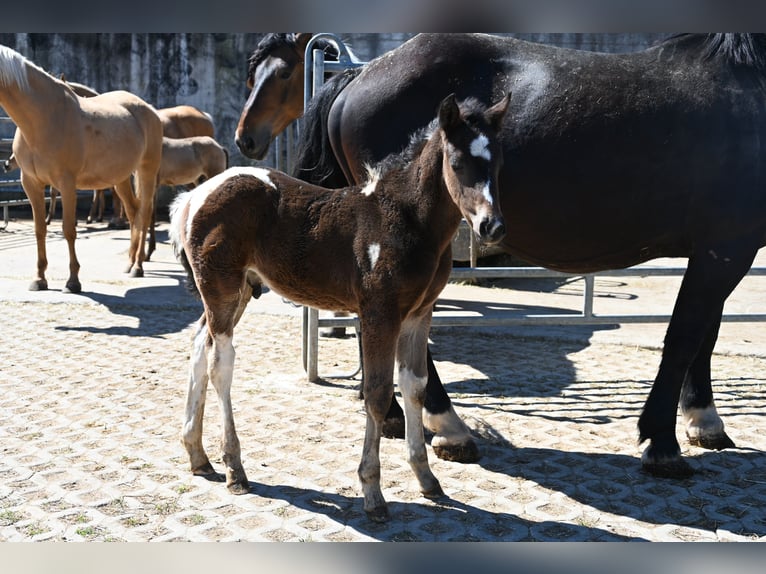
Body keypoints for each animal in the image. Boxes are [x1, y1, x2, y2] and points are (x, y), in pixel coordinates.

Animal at [0, 45, 162, 292]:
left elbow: (69, 229)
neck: (42, 118)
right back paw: (131, 262)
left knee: (144, 213)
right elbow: (39, 229)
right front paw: (39, 279)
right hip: (121, 178)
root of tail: (150, 110)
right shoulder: (31, 183)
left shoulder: (67, 183)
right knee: (133, 211)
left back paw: (138, 266)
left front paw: (73, 281)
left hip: (147, 170)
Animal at [170, 93, 509, 521]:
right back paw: (234, 468)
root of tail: (194, 197)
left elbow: (414, 387)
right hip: (222, 288)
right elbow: (377, 394)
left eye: (497, 164)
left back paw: (198, 455)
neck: (405, 219)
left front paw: (427, 479)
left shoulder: (419, 314)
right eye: (458, 162)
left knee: (200, 345)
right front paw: (373, 493)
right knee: (221, 364)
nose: (491, 227)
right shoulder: (380, 313)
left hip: (240, 291)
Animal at [236, 33, 766, 479]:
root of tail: (361, 74)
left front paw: (703, 420)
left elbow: (706, 333)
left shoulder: (719, 248)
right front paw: (662, 443)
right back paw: (448, 428)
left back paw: (393, 416)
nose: (247, 138)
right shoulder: (726, 246)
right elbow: (685, 337)